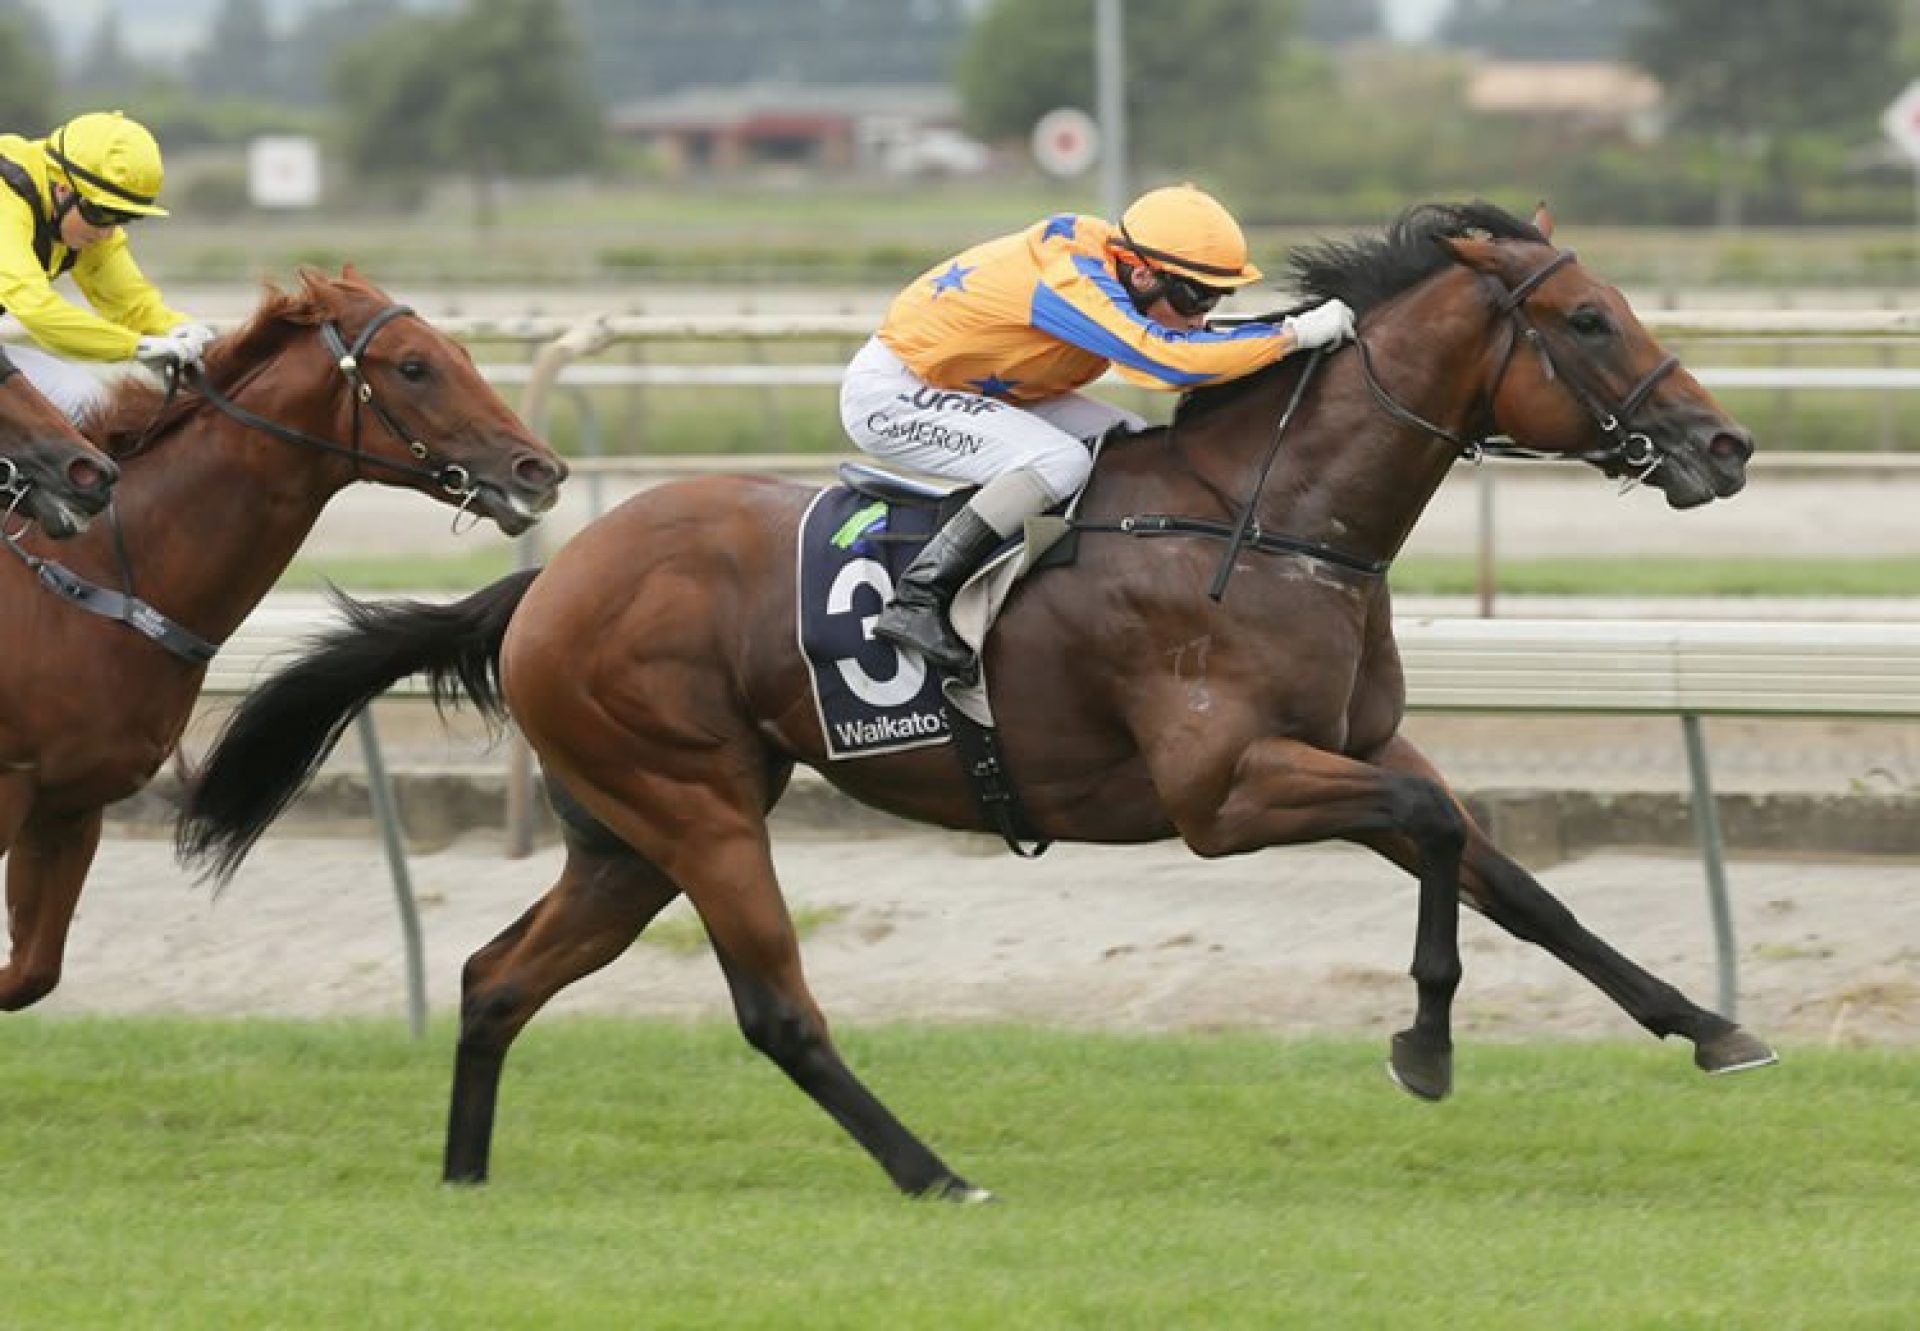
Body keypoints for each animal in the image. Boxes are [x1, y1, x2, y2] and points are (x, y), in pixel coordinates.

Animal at [180, 202, 1766, 1198]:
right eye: (1588, 320)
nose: (1726, 445)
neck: (1272, 518)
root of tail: (550, 579)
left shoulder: (1357, 746)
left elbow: (1518, 884)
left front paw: (1708, 1023)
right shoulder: (1226, 790)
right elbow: (1436, 837)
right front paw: (1425, 1044)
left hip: (626, 834)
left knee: (496, 977)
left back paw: (465, 1176)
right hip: (692, 807)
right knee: (777, 1010)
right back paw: (937, 1172)